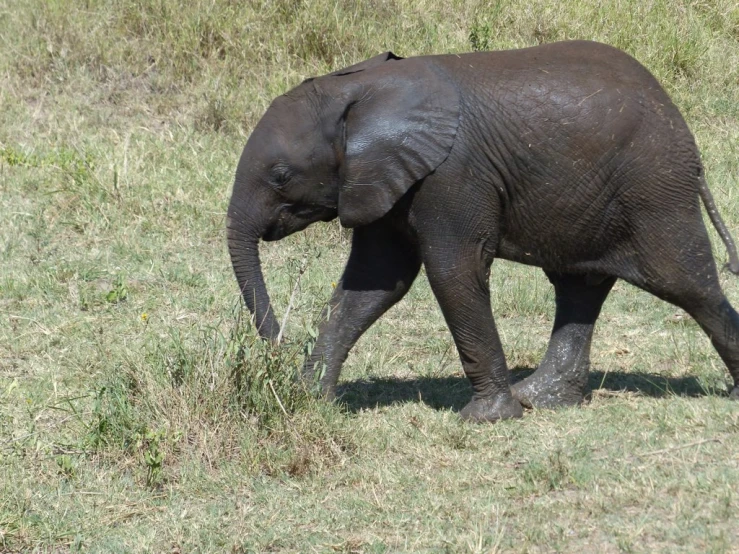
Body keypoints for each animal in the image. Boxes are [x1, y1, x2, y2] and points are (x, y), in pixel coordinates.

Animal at [225, 40, 739, 418]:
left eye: (280, 176)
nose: (279, 347)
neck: (367, 89)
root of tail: (683, 129)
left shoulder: (452, 174)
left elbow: (453, 272)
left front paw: (487, 418)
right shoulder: (384, 179)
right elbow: (373, 285)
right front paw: (311, 400)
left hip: (654, 187)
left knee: (686, 283)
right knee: (580, 286)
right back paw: (541, 399)